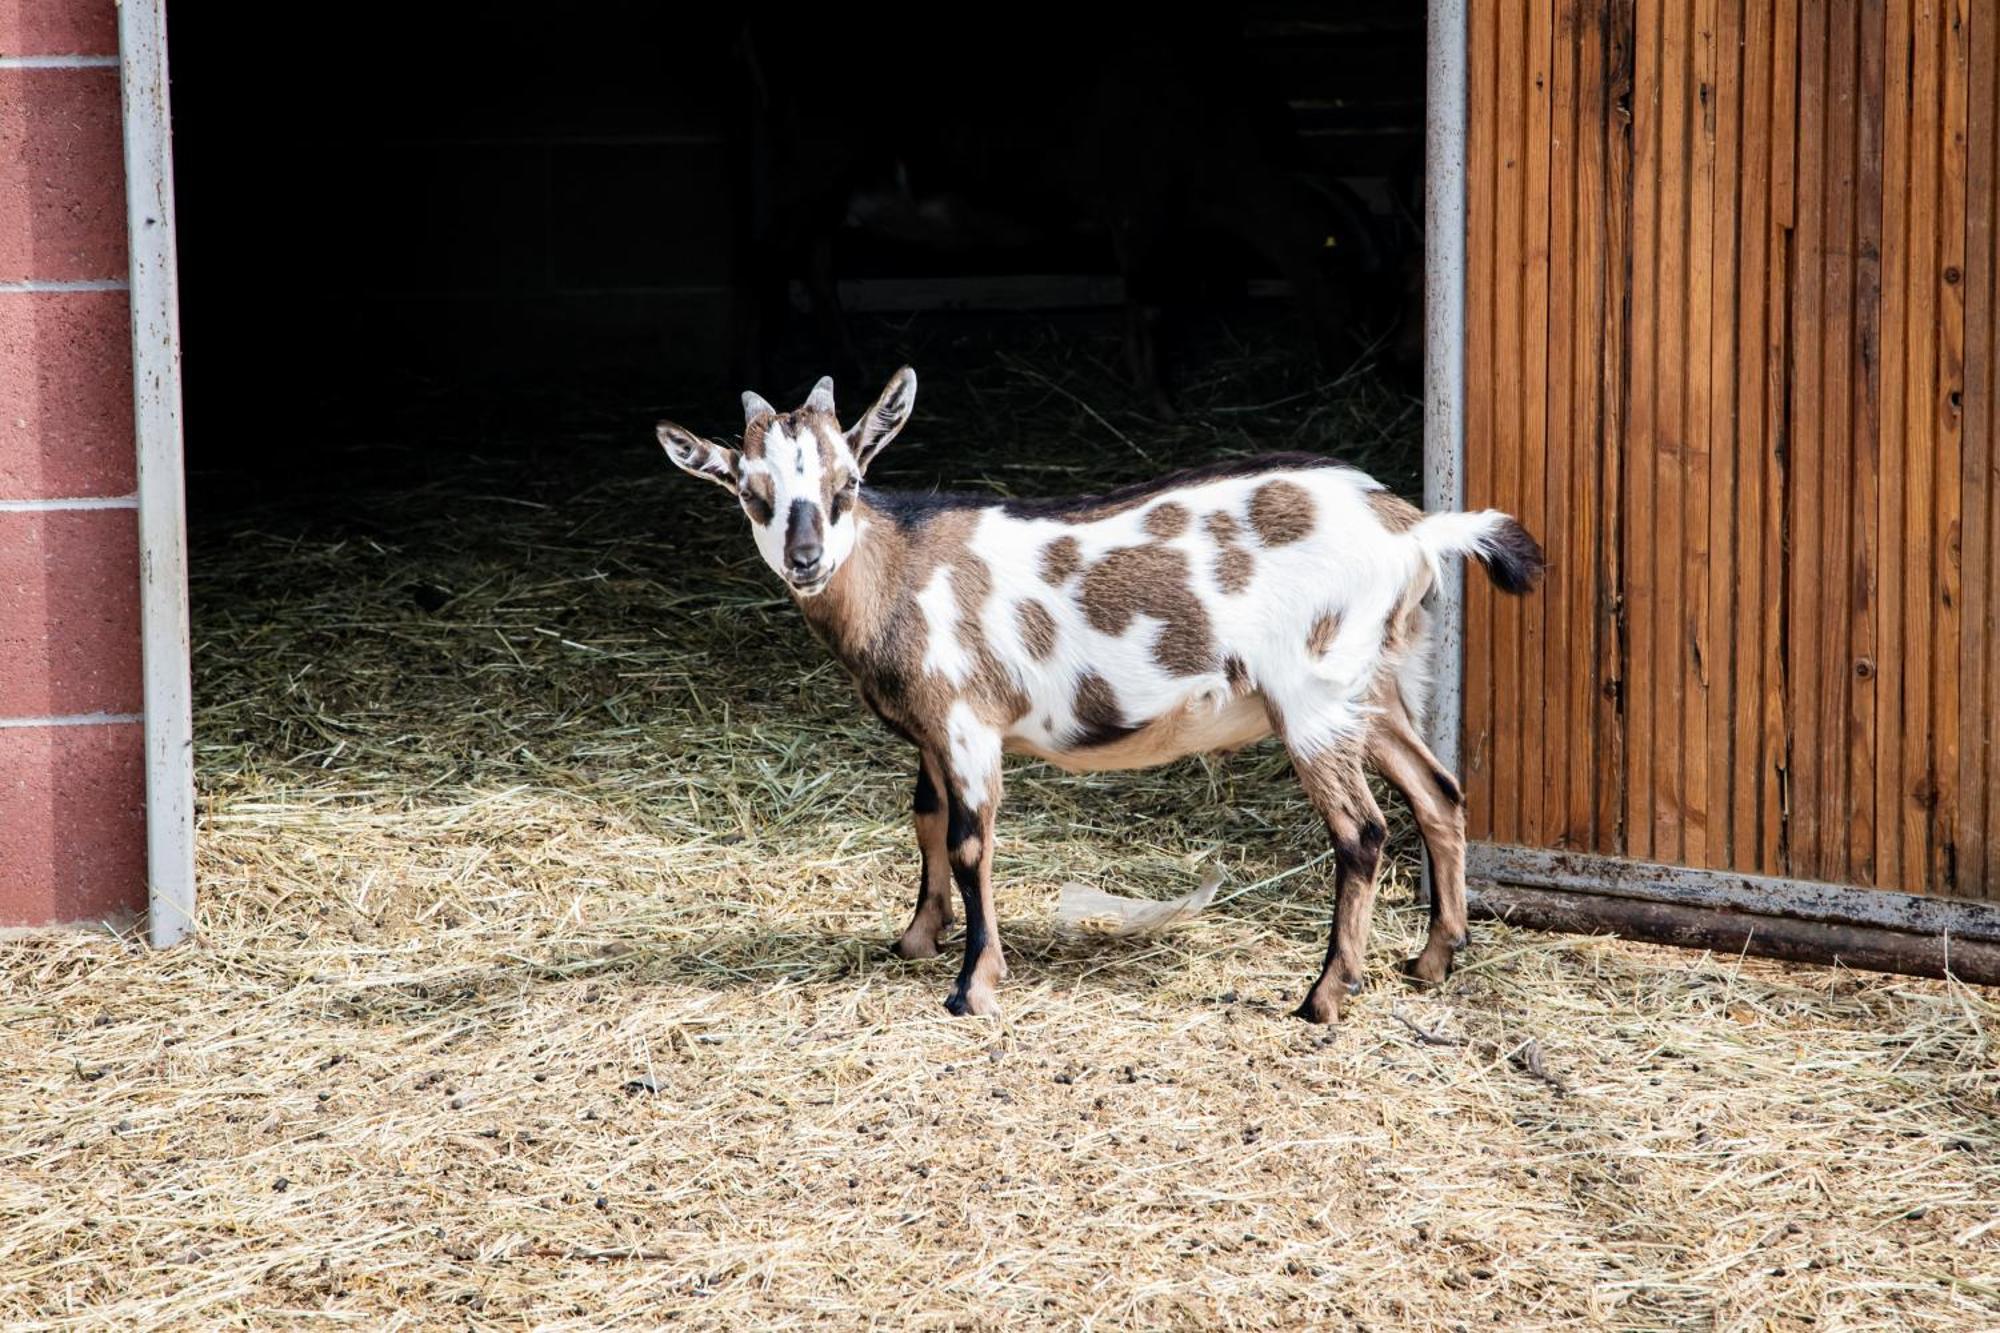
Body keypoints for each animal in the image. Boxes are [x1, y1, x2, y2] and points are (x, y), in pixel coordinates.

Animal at [660, 368, 1544, 1020]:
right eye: (752, 493)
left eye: (846, 483)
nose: (806, 559)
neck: (902, 569)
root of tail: (1412, 529)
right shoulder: (932, 731)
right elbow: (926, 822)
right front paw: (915, 939)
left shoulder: (967, 721)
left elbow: (970, 842)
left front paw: (974, 985)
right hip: (1379, 682)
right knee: (1438, 792)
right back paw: (1433, 959)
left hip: (1315, 695)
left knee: (1362, 831)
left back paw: (1324, 996)